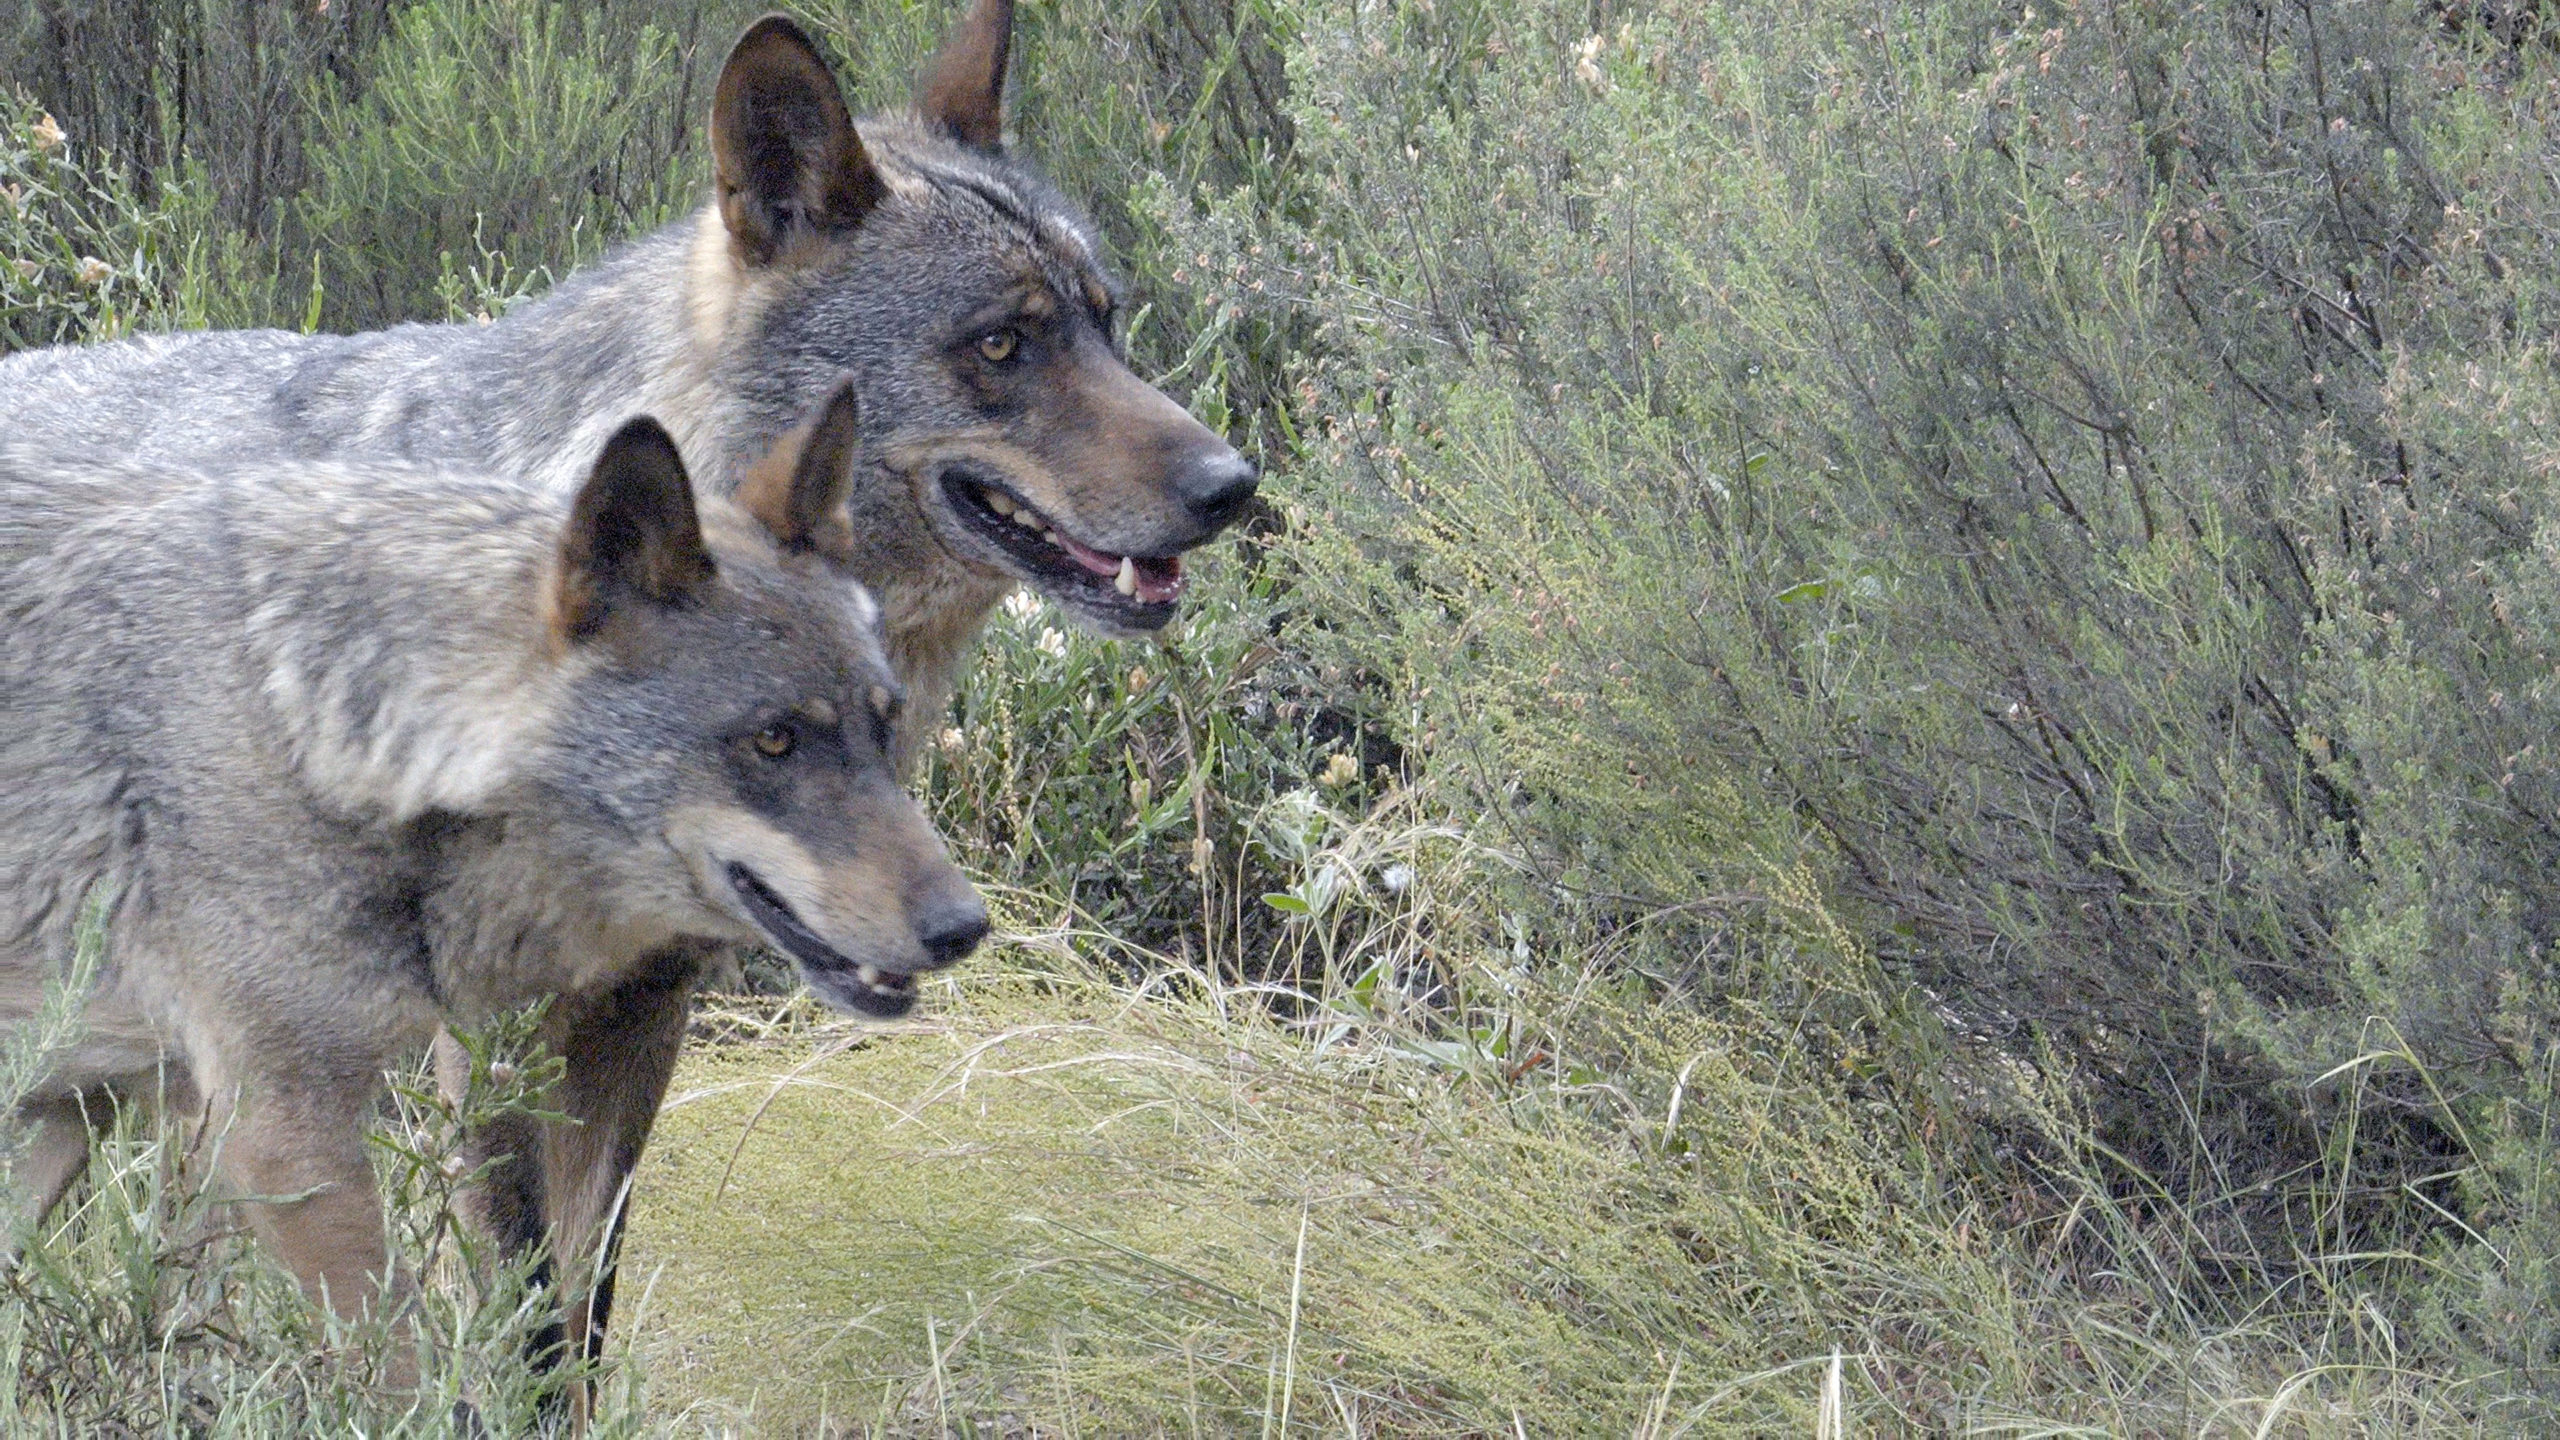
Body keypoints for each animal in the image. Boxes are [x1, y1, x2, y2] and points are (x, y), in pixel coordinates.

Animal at [0, 384, 985, 1384]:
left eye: (884, 724)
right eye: (774, 739)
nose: (964, 926)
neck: (314, 717)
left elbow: (564, 1343)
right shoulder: (286, 1144)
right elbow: (436, 1384)